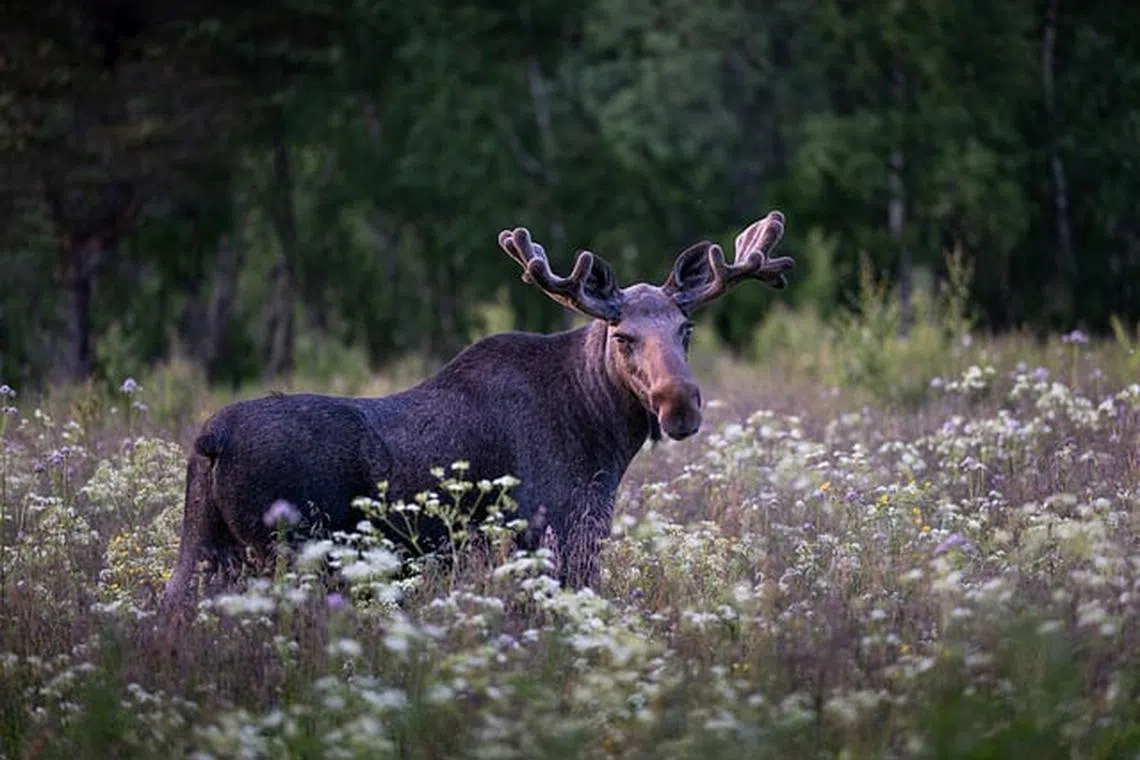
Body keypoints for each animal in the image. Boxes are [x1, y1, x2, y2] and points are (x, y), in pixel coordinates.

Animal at [161, 210, 793, 615]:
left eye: (686, 329)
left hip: (203, 550)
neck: (605, 437)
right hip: (290, 555)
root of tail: (212, 439)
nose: (678, 404)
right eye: (623, 336)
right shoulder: (556, 536)